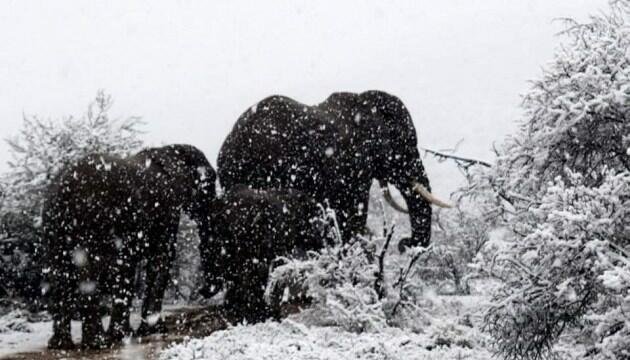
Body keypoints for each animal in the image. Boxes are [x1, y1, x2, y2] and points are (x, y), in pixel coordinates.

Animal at [43, 143, 217, 348]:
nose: (203, 291)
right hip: (93, 221)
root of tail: (64, 190)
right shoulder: (166, 210)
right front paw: (149, 331)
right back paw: (99, 343)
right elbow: (160, 259)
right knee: (89, 272)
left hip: (54, 226)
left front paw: (133, 332)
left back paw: (61, 345)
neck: (169, 150)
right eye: (210, 184)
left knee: (59, 272)